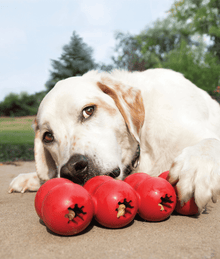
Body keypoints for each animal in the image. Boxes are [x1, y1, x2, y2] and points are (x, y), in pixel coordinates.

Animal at [8, 68, 220, 213]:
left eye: (88, 110)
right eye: (48, 136)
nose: (71, 169)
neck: (142, 145)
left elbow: (209, 143)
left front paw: (196, 168)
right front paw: (32, 178)